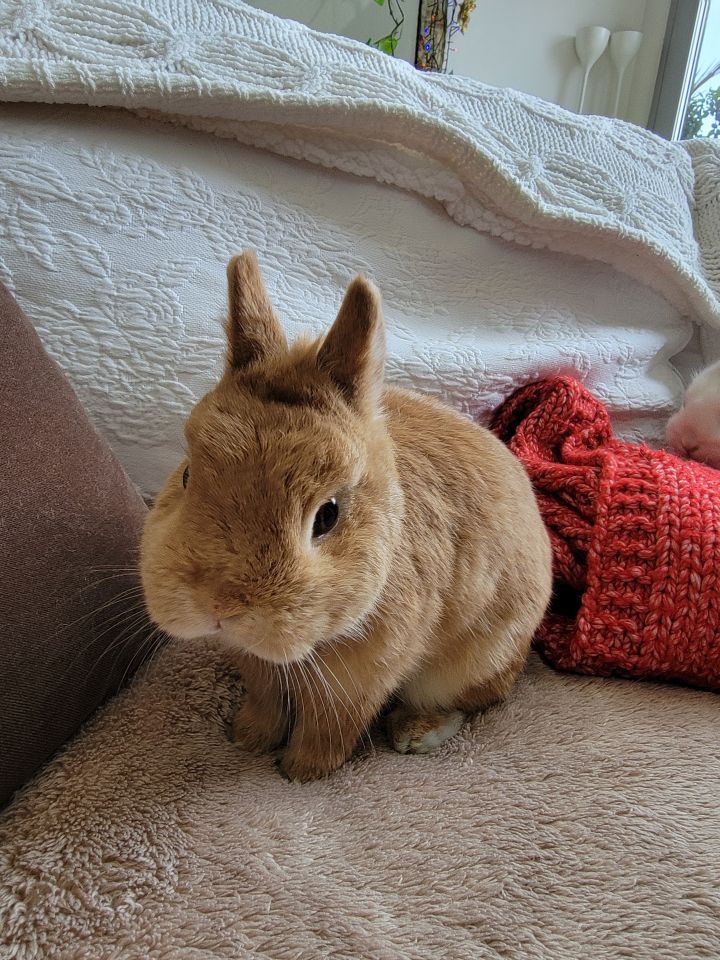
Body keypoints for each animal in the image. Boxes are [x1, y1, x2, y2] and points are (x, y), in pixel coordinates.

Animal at [141, 251, 552, 784]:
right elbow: (266, 703)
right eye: (188, 475)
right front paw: (247, 739)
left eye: (327, 516)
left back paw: (414, 734)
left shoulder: (361, 677)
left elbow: (330, 726)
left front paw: (301, 772)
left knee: (475, 700)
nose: (220, 607)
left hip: (472, 663)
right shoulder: (259, 668)